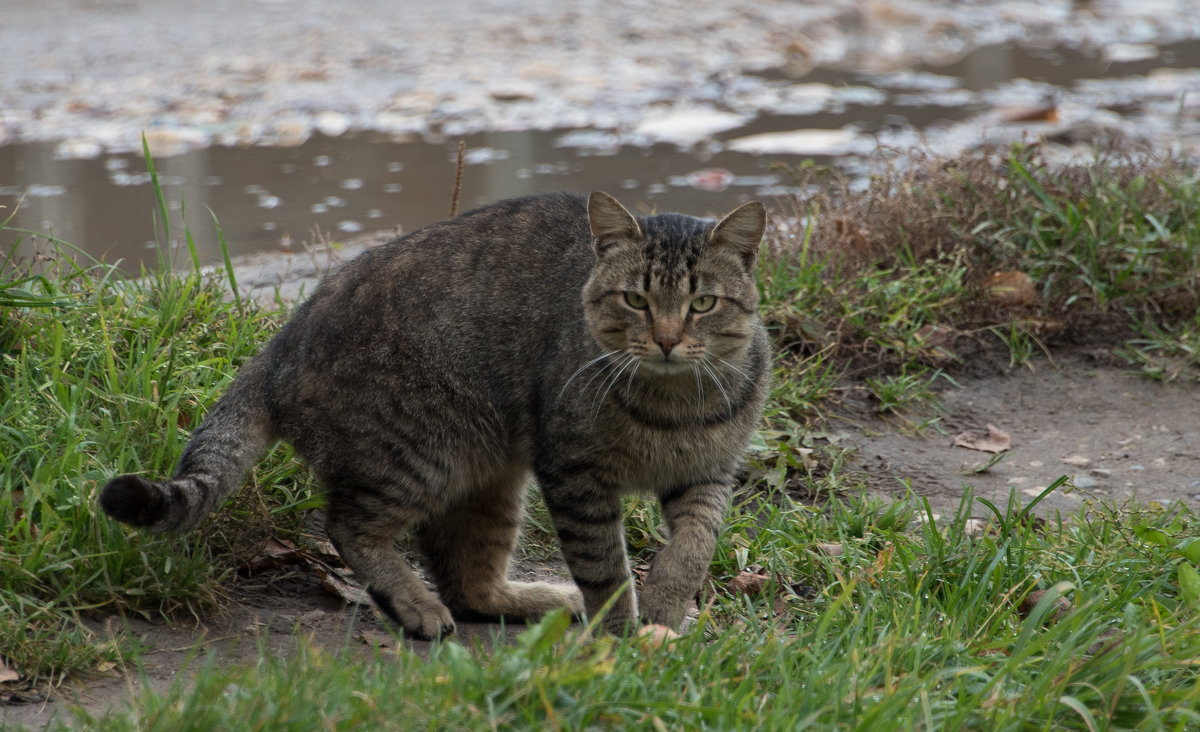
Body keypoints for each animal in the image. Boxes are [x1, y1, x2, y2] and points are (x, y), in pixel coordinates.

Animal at [98, 190, 763, 633]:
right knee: (349, 526)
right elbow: (603, 565)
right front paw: (624, 633)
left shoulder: (708, 474)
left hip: (489, 477)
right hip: (420, 455)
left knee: (468, 581)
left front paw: (665, 608)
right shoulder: (576, 476)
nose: (668, 340)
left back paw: (534, 599)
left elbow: (695, 545)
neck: (670, 404)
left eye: (703, 303)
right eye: (635, 299)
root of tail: (284, 338)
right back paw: (416, 604)